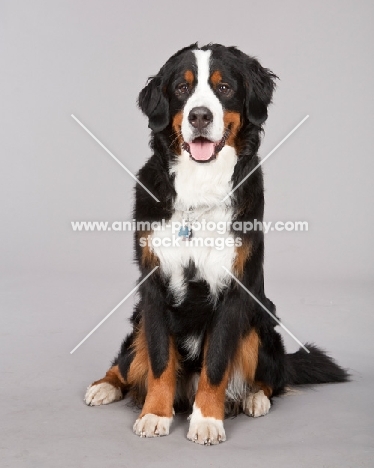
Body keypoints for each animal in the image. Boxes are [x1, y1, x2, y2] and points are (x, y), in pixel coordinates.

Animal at [84, 44, 348, 446]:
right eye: (181, 87)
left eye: (224, 88)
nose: (199, 116)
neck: (200, 187)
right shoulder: (153, 286)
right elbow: (160, 359)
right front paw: (155, 414)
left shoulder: (234, 289)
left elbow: (217, 363)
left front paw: (207, 419)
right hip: (137, 320)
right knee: (128, 363)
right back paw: (105, 385)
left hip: (260, 322)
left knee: (274, 378)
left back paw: (254, 398)